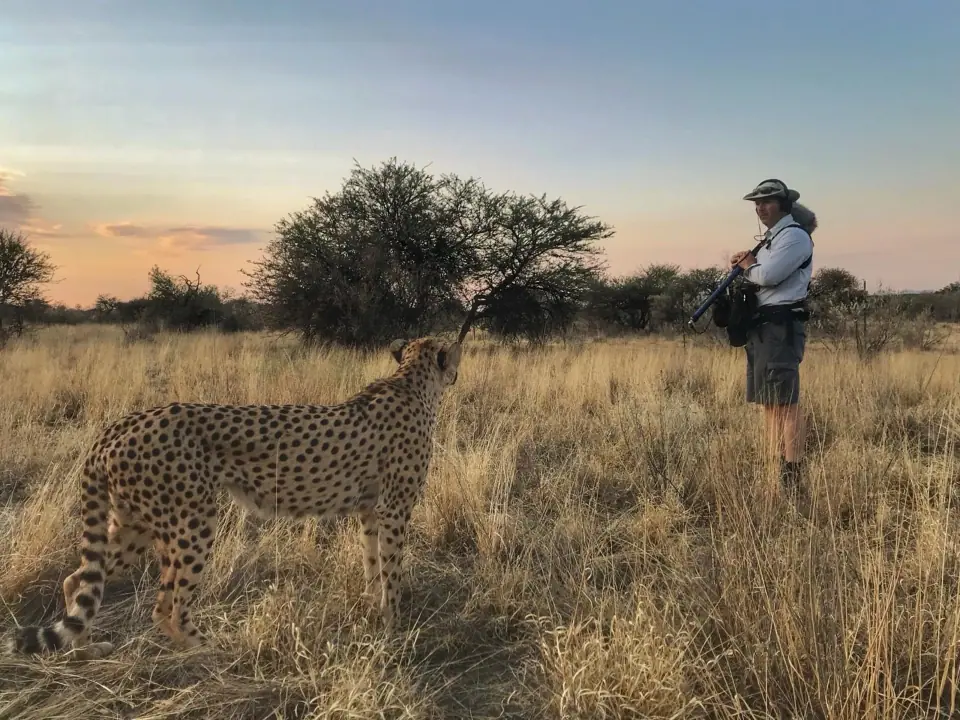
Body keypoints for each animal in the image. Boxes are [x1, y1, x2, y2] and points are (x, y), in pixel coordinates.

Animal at [7, 336, 462, 660]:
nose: (457, 371)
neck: (412, 381)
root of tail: (121, 423)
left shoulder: (369, 511)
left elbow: (372, 565)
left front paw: (373, 612)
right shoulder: (395, 510)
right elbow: (392, 571)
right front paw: (394, 626)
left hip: (135, 523)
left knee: (79, 580)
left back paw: (83, 650)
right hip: (193, 522)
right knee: (167, 604)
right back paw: (208, 649)